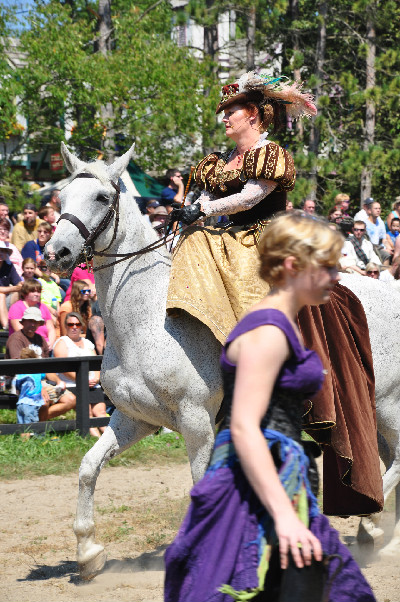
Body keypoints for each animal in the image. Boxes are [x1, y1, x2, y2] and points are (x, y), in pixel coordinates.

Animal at [45, 144, 398, 576]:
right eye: (60, 196)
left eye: (100, 197)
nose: (55, 253)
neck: (148, 321)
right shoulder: (134, 419)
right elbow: (88, 467)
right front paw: (88, 552)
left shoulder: (196, 422)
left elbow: (200, 486)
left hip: (387, 404)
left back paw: (371, 523)